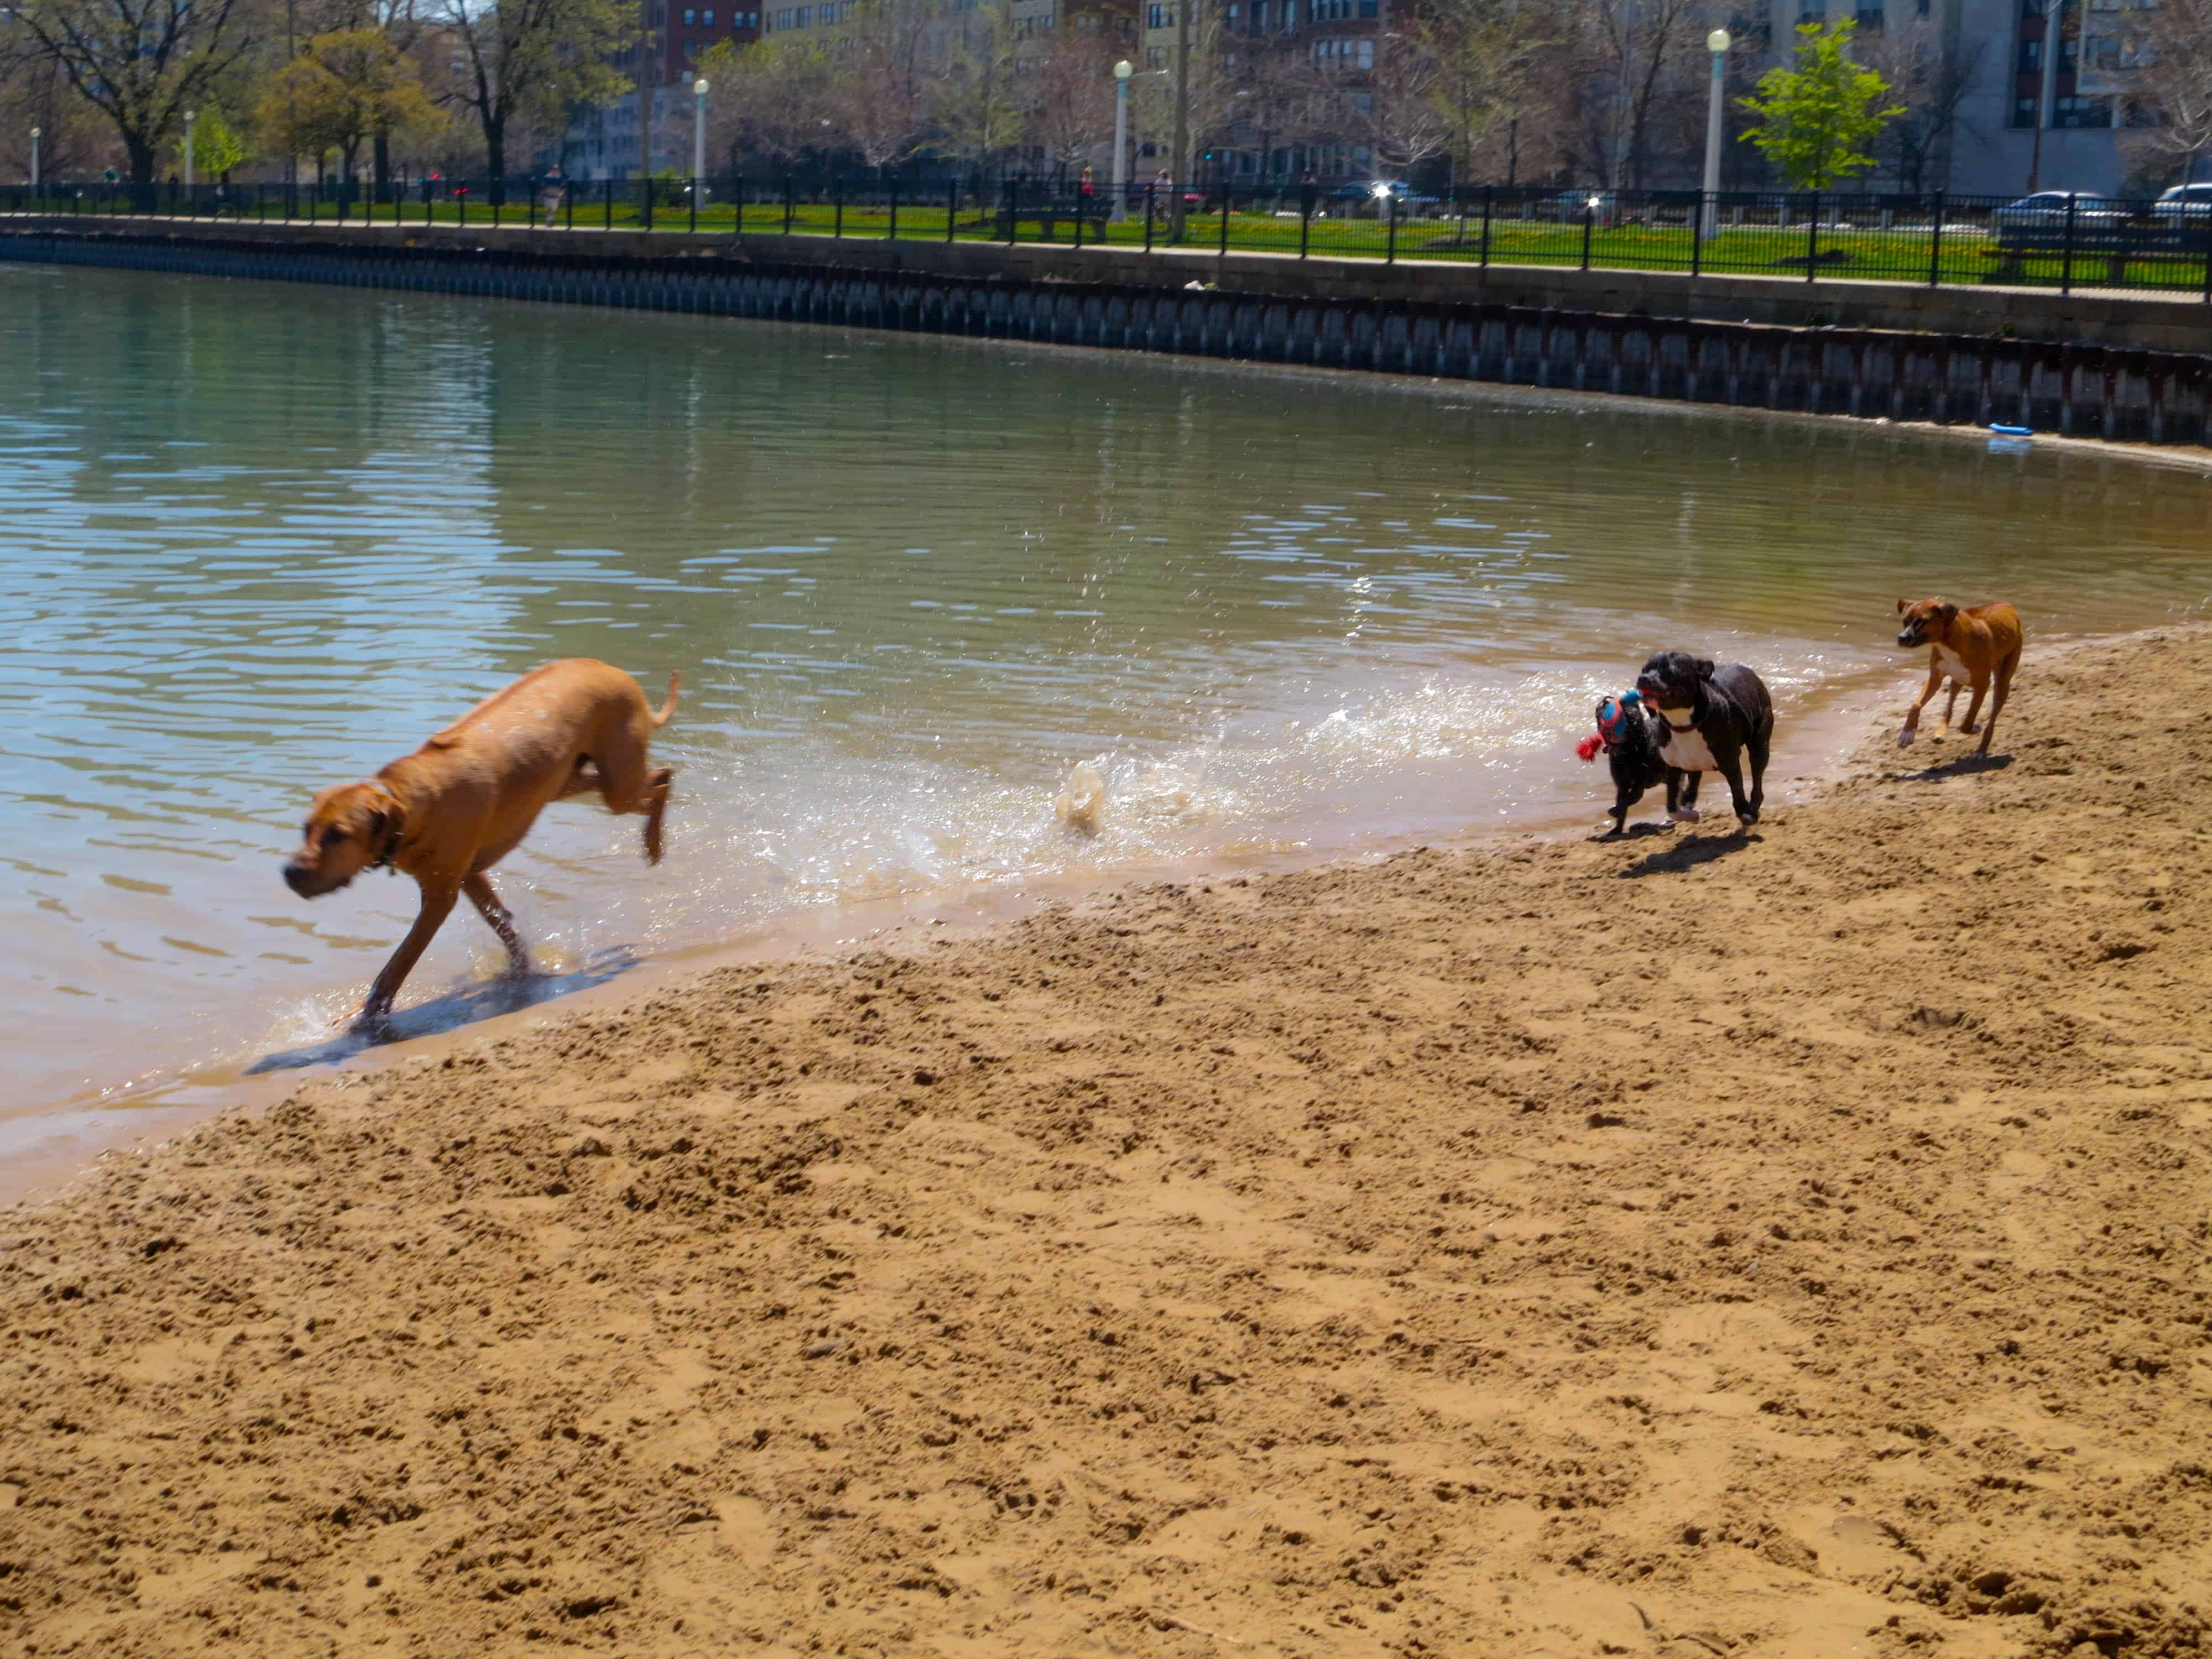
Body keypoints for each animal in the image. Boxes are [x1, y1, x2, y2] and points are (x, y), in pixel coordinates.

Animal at [288, 659, 681, 1026]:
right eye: (306, 829)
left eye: (339, 834)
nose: (289, 873)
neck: (410, 802)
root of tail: (609, 668)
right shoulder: (469, 876)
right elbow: (503, 924)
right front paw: (521, 971)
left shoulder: (439, 898)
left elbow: (398, 963)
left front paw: (366, 1015)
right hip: (568, 780)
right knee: (659, 776)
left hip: (618, 784)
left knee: (662, 780)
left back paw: (653, 843)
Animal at [1628, 655, 1778, 827]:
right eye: (1644, 670)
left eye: (1669, 671)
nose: (1643, 678)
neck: (1684, 724)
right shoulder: (1674, 767)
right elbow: (1672, 807)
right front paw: (1690, 815)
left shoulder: (1730, 764)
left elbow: (1738, 793)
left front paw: (1745, 812)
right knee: (1694, 780)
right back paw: (1688, 802)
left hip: (1760, 744)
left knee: (1757, 778)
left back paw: (1753, 808)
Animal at [1893, 597, 2026, 761]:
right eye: (1905, 621)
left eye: (1921, 622)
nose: (1901, 638)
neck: (1948, 644)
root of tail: (2008, 605)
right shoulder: (1935, 679)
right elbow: (1915, 706)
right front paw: (1906, 734)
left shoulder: (1982, 686)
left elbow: (1968, 721)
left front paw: (1975, 728)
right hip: (1958, 678)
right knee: (1950, 702)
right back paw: (1941, 731)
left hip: (2002, 683)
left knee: (1992, 720)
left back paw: (1981, 750)